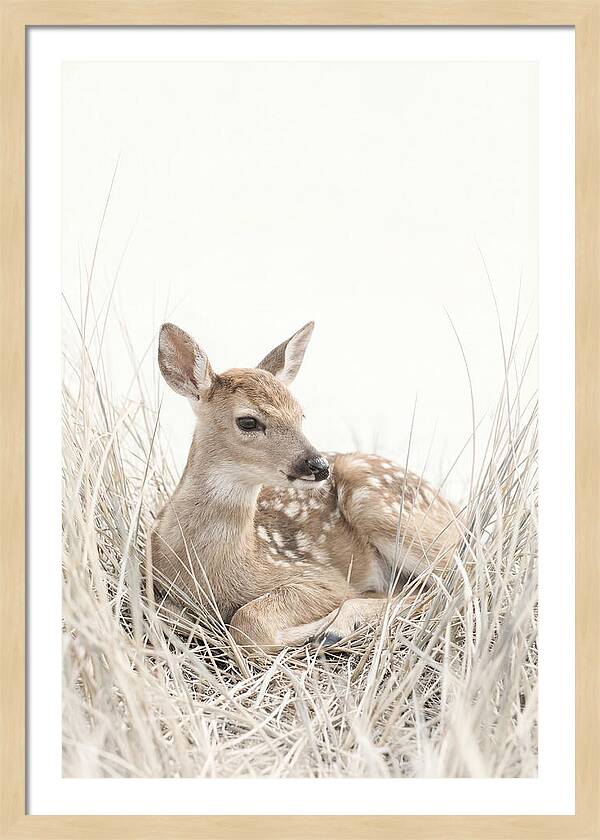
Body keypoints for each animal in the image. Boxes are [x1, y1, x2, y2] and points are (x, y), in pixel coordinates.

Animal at [147, 321, 461, 654]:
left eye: (301, 415)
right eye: (248, 422)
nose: (318, 465)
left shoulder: (319, 576)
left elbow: (248, 623)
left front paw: (312, 630)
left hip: (381, 506)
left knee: (454, 581)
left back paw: (335, 628)